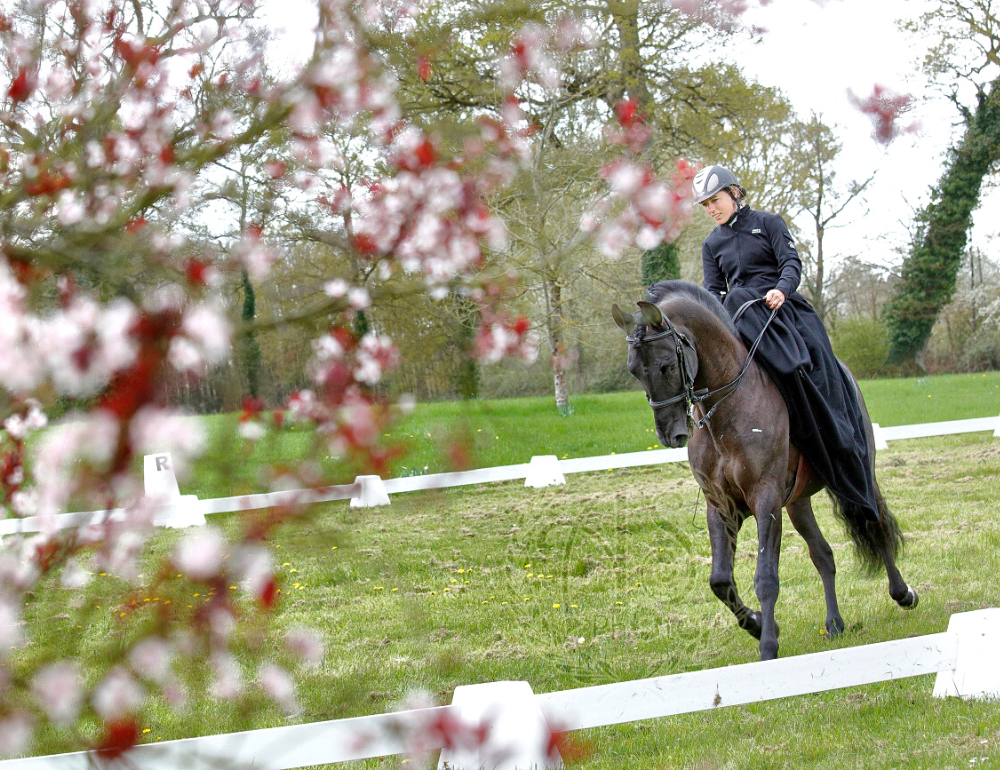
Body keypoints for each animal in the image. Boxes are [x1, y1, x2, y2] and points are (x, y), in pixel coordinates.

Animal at [608, 282, 916, 660]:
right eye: (634, 370)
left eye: (666, 366)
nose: (671, 434)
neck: (728, 408)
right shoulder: (721, 505)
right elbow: (720, 580)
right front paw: (755, 624)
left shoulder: (765, 501)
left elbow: (766, 577)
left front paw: (768, 646)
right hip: (797, 502)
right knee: (823, 555)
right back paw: (834, 624)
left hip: (857, 475)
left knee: (876, 524)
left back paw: (903, 593)